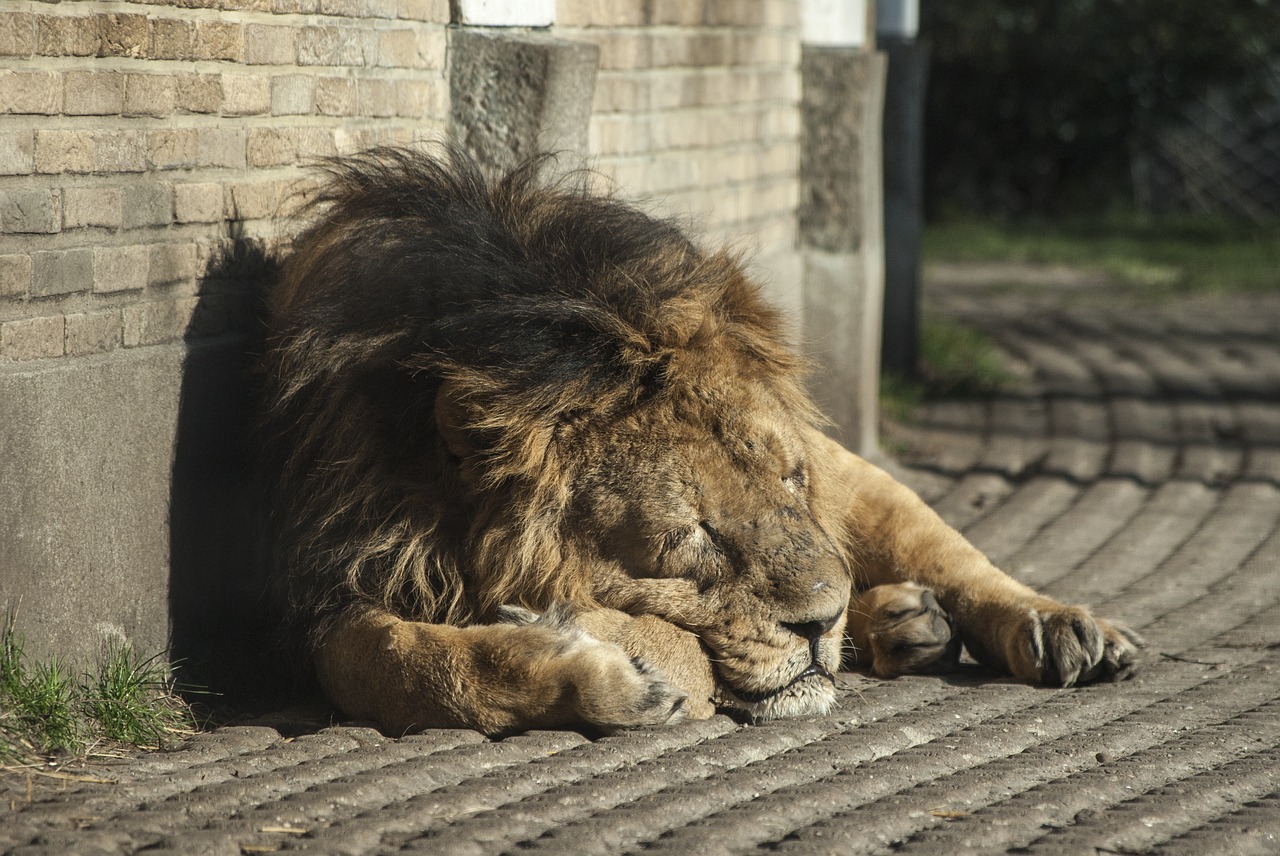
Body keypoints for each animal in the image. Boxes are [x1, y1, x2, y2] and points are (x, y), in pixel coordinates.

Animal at [257, 147, 1141, 737]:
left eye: (790, 483)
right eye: (694, 535)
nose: (818, 623)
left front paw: (597, 641)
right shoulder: (336, 573)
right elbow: (399, 662)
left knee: (958, 560)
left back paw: (1061, 629)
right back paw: (900, 624)